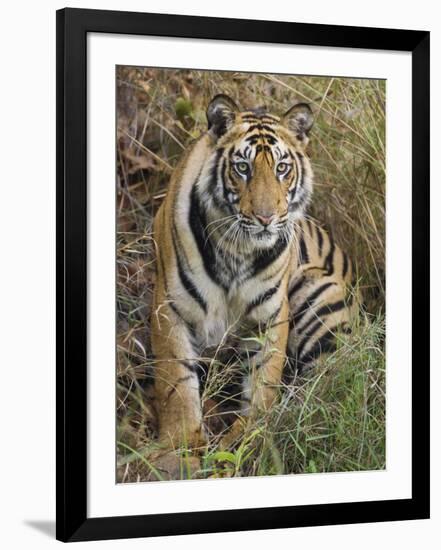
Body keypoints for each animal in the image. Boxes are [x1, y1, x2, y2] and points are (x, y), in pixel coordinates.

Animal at [150, 94, 356, 478]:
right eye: (243, 168)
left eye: (282, 168)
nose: (265, 218)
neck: (237, 249)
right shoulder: (169, 307)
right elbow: (177, 384)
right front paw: (179, 449)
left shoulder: (271, 316)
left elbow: (264, 383)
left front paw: (251, 439)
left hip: (317, 295)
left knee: (331, 387)